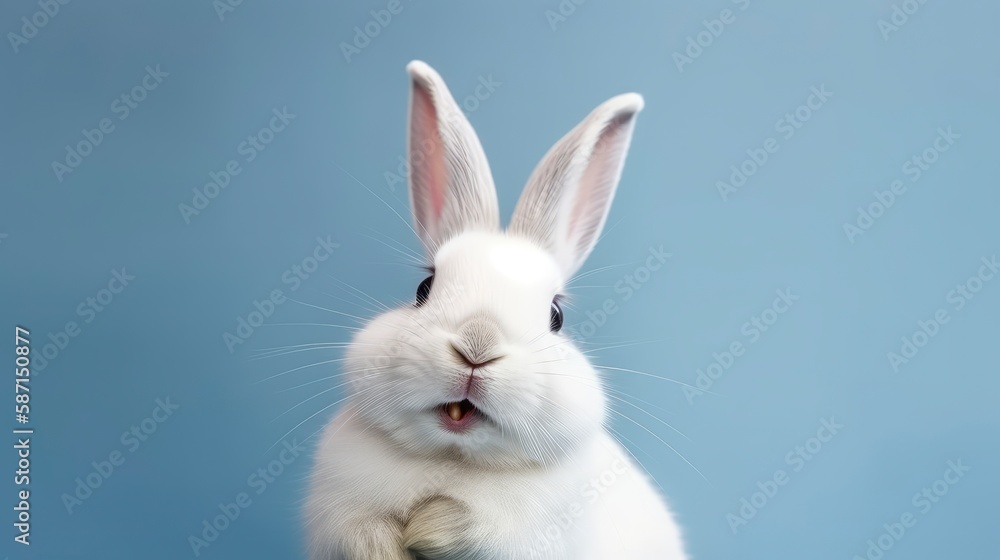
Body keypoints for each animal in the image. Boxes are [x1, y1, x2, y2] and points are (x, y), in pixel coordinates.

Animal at [305, 60, 687, 560]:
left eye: (556, 317)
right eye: (424, 288)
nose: (477, 348)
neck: (452, 457)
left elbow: (472, 526)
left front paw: (427, 528)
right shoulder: (337, 514)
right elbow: (360, 532)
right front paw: (390, 544)